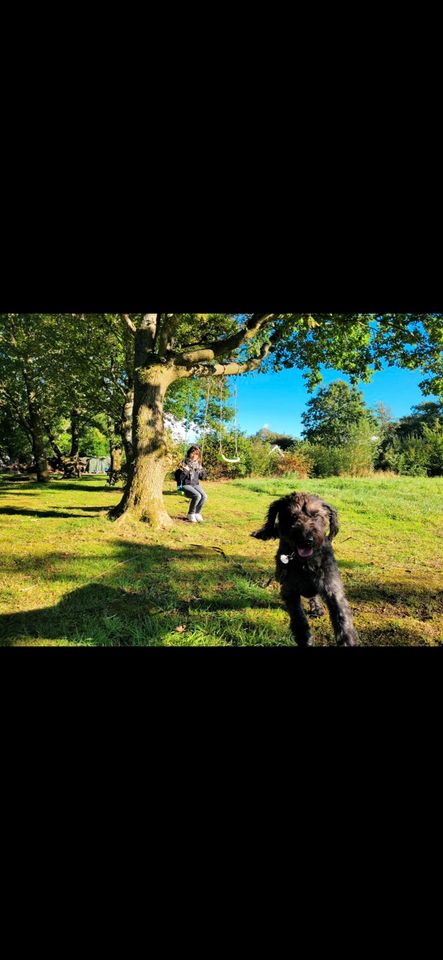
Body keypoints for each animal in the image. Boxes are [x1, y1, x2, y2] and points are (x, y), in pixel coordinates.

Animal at [253, 496, 358, 644]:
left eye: (316, 516)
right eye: (292, 516)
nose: (306, 540)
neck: (306, 563)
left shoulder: (333, 589)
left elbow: (343, 620)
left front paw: (347, 640)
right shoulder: (290, 591)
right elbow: (299, 619)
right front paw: (305, 639)